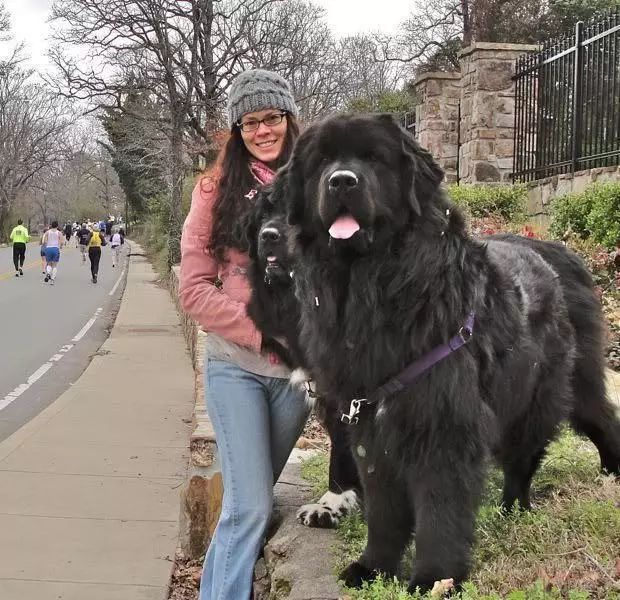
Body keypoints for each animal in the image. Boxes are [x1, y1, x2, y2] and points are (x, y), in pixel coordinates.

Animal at [256, 115, 620, 592]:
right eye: (322, 162)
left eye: (374, 158)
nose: (342, 181)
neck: (372, 286)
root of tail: (551, 250)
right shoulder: (368, 418)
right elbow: (384, 507)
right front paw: (373, 566)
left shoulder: (442, 420)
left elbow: (439, 508)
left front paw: (434, 578)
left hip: (545, 393)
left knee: (553, 441)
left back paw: (543, 497)